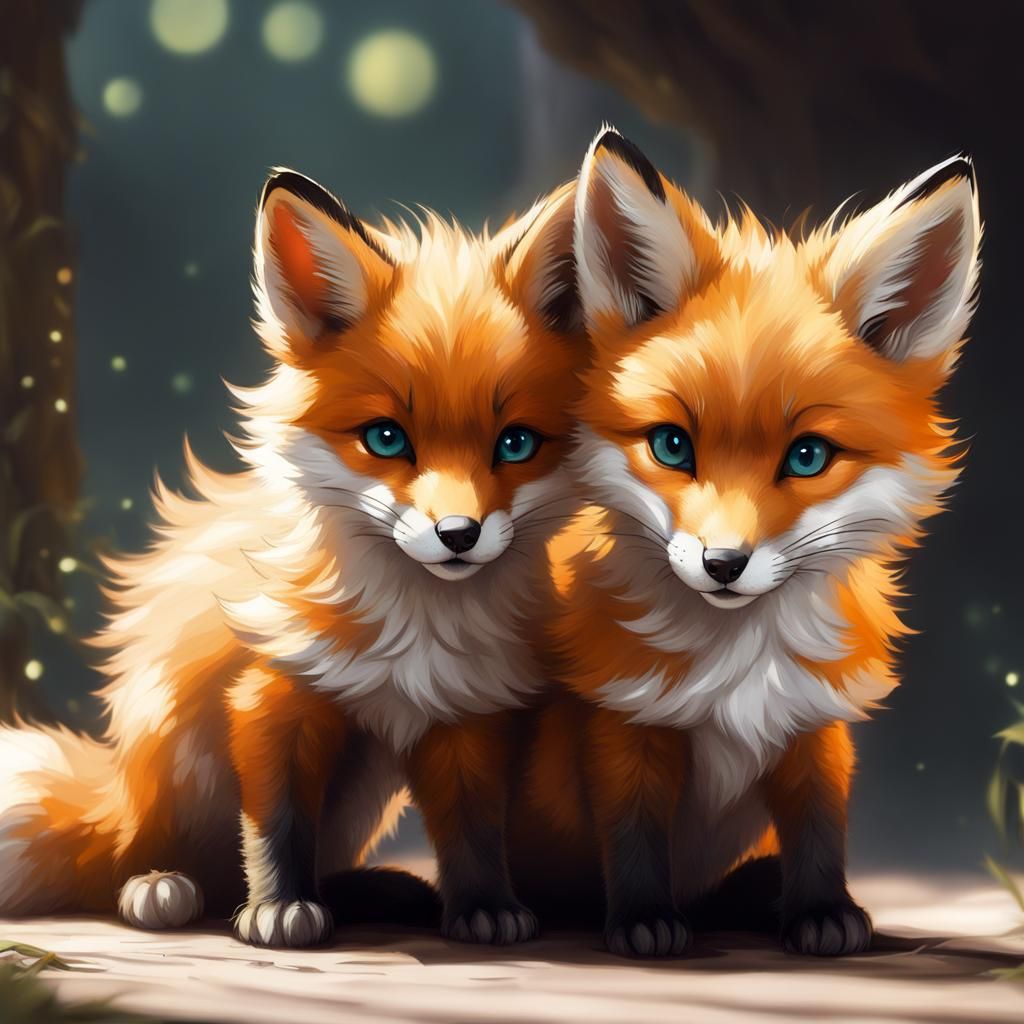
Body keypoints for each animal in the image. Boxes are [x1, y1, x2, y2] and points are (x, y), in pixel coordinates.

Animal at [0, 169, 585, 948]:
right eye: (387, 438)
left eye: (516, 444)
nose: (458, 534)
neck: (414, 631)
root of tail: (115, 793)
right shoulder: (272, 695)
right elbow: (277, 823)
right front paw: (278, 908)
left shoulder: (464, 710)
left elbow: (473, 826)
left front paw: (483, 905)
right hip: (169, 757)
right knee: (137, 861)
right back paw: (159, 886)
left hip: (363, 788)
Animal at [504, 127, 981, 958]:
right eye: (671, 446)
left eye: (808, 457)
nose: (723, 563)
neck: (738, 669)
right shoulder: (623, 720)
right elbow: (632, 832)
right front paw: (643, 921)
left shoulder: (813, 724)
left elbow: (819, 827)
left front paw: (822, 910)